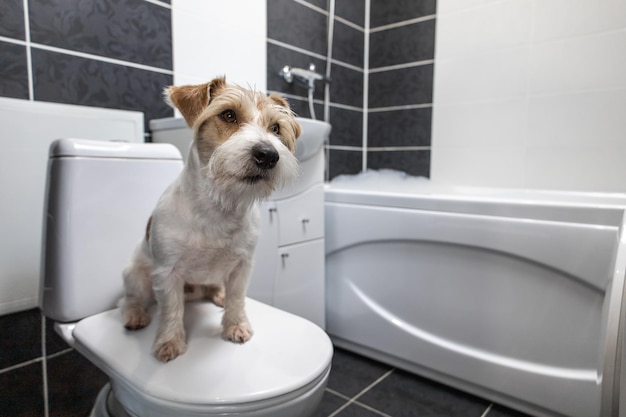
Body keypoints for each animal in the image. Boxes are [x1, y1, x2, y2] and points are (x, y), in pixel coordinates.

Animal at [120, 77, 302, 360]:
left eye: (276, 128)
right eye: (228, 115)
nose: (268, 155)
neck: (219, 206)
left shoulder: (242, 266)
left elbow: (237, 298)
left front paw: (236, 325)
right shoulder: (167, 272)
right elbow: (171, 309)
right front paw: (170, 341)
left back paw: (219, 294)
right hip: (135, 275)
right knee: (131, 299)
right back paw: (135, 314)